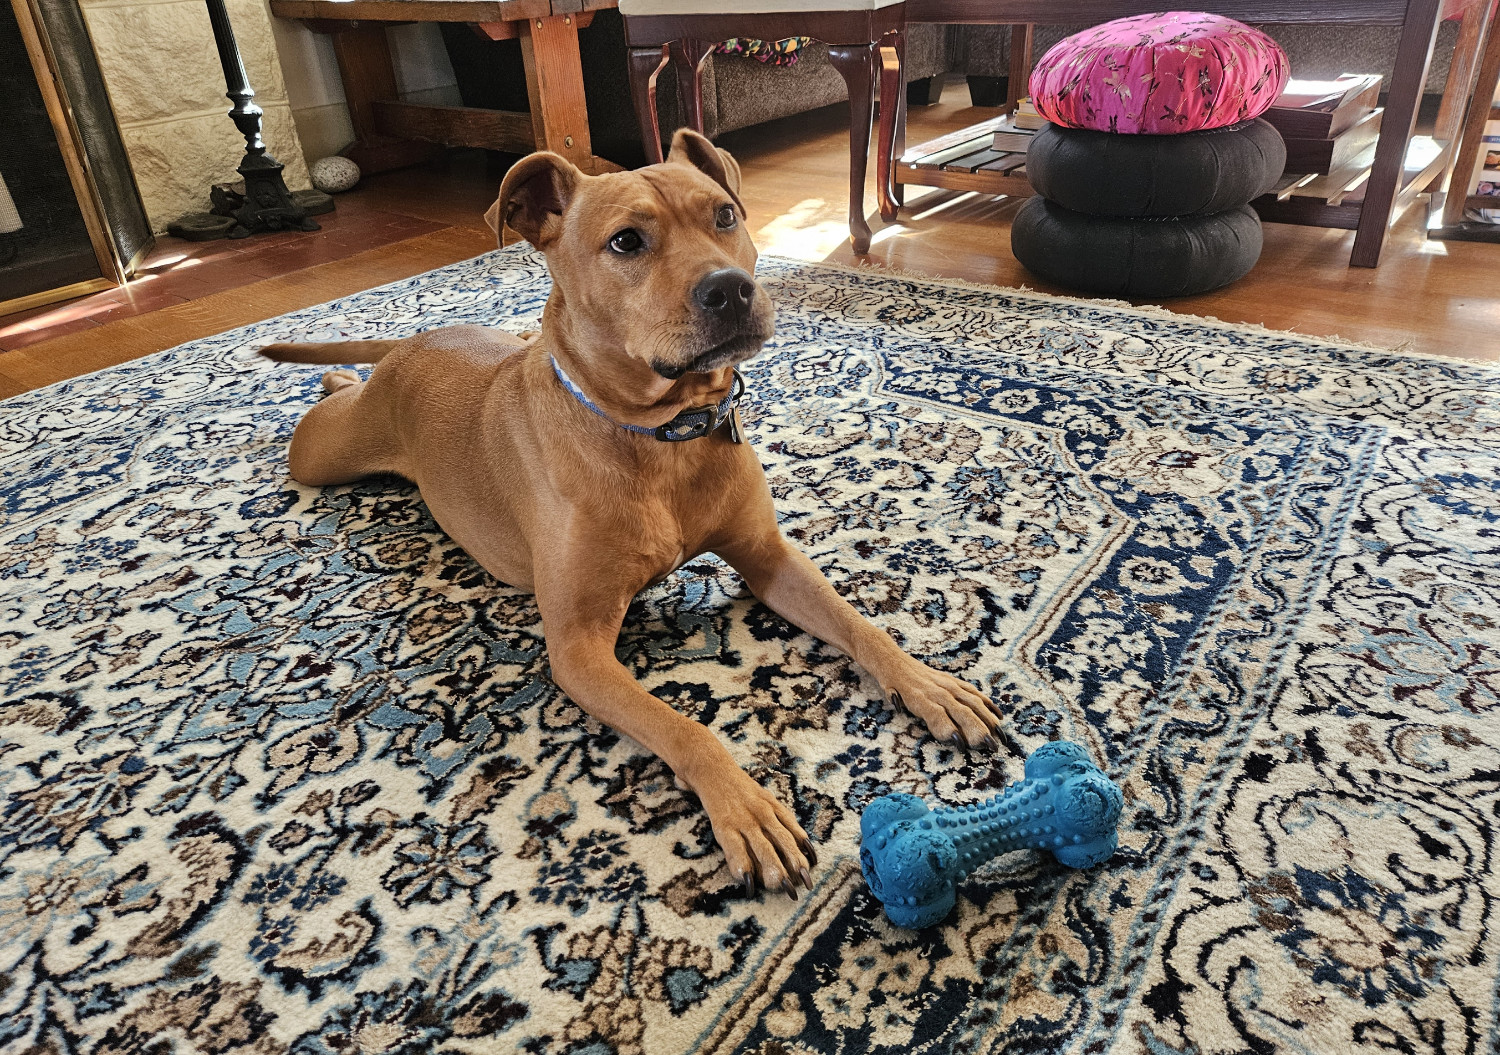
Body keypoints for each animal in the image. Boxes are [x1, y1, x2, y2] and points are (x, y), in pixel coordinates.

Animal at [264, 127, 1002, 894]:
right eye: (625, 242)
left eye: (724, 216)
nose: (730, 288)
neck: (661, 434)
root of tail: (411, 344)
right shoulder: (579, 647)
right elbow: (683, 727)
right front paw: (746, 807)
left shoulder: (768, 558)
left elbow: (862, 625)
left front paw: (929, 685)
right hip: (323, 451)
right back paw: (335, 375)